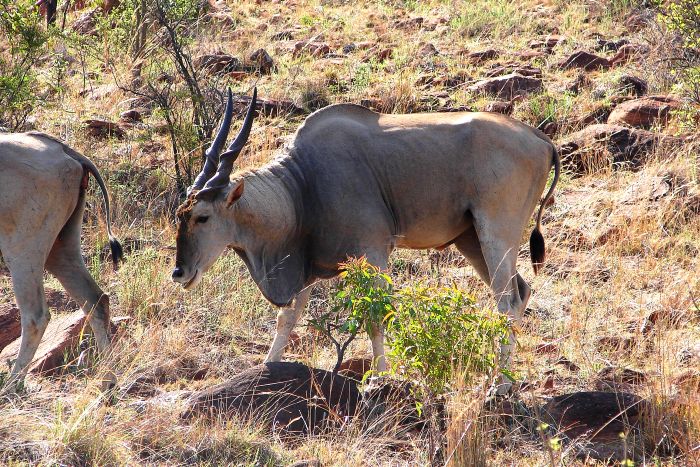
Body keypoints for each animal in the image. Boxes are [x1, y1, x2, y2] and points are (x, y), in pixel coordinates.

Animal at [0, 132, 121, 392]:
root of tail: (64, 150)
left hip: (23, 249)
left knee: (36, 316)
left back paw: (11, 387)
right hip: (61, 247)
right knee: (96, 300)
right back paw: (108, 382)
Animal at [172, 88, 560, 394]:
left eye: (202, 217)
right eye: (179, 214)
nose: (179, 273)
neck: (301, 185)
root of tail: (540, 140)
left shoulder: (372, 253)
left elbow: (377, 314)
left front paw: (380, 379)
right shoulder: (307, 269)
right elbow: (288, 318)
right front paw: (267, 368)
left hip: (495, 232)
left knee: (508, 301)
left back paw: (501, 385)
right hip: (471, 240)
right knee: (521, 290)